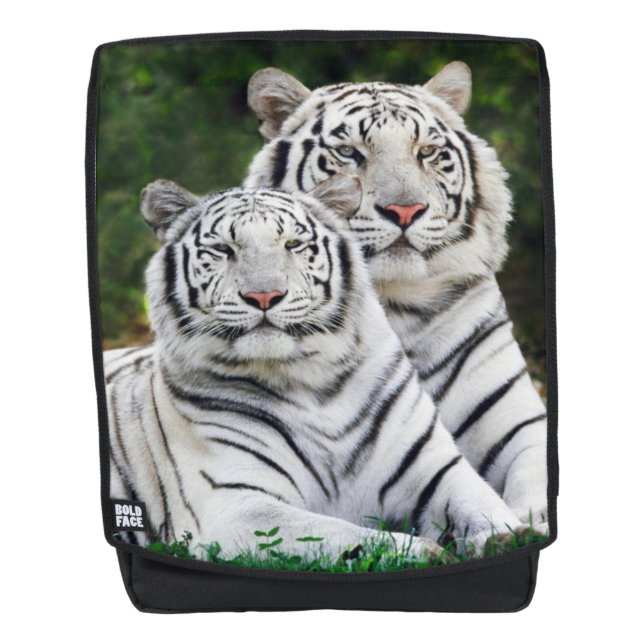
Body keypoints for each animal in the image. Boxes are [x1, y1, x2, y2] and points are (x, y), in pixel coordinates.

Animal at [105, 174, 526, 561]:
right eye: (223, 249)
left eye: (292, 244)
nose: (264, 296)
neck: (312, 382)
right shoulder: (234, 506)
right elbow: (339, 535)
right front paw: (425, 552)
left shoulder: (434, 467)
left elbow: (479, 501)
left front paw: (508, 537)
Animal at [244, 61, 548, 529]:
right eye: (349, 153)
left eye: (426, 152)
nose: (405, 210)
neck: (396, 303)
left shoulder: (519, 422)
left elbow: (534, 479)